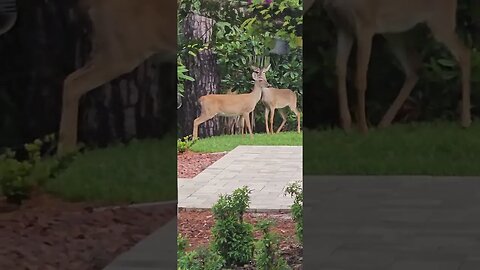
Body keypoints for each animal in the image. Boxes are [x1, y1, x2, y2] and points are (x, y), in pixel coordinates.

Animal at [306, 0, 470, 132]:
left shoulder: (366, 24)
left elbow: (360, 78)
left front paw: (363, 128)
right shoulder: (343, 26)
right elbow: (340, 69)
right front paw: (347, 125)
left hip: (441, 20)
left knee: (464, 54)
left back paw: (465, 121)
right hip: (395, 32)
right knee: (414, 66)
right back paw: (383, 124)